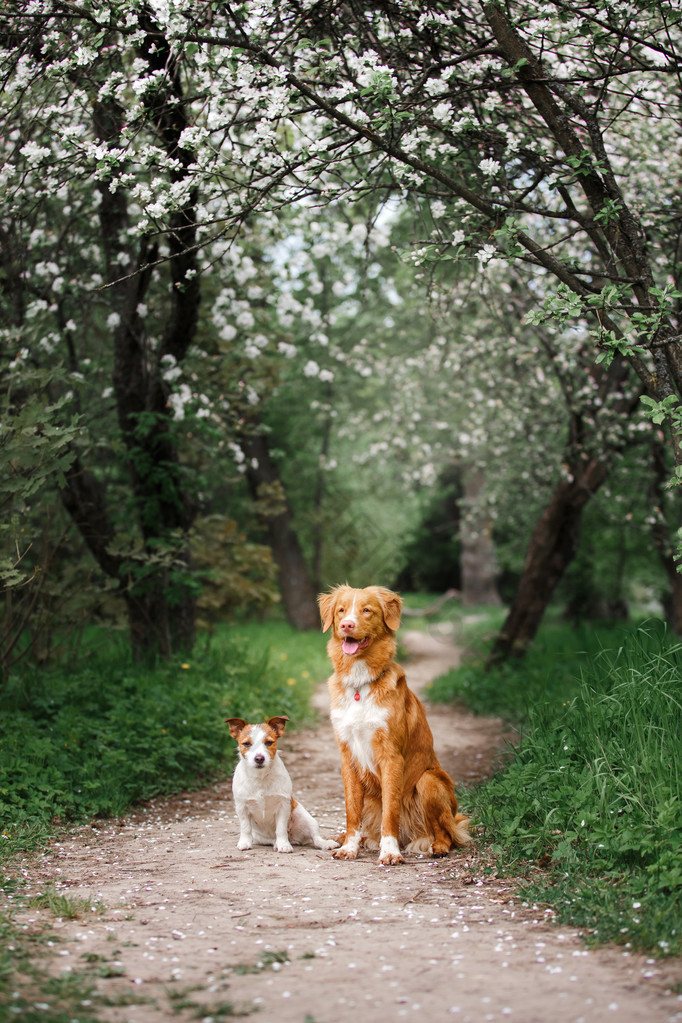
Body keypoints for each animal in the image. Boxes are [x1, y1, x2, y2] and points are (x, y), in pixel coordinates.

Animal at [224, 716, 339, 851]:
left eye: (269, 742)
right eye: (246, 744)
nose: (259, 758)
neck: (261, 777)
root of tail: (294, 838)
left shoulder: (283, 806)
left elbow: (281, 829)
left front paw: (284, 844)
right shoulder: (242, 807)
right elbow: (246, 828)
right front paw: (244, 843)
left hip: (306, 818)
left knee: (315, 837)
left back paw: (325, 843)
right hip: (261, 837)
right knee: (271, 839)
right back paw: (275, 844)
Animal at [319, 585, 470, 863]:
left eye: (367, 610)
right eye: (341, 610)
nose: (346, 625)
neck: (360, 683)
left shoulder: (390, 757)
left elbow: (390, 811)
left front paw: (389, 852)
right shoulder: (348, 757)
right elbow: (351, 811)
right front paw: (349, 847)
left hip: (429, 781)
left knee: (447, 830)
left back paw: (438, 847)